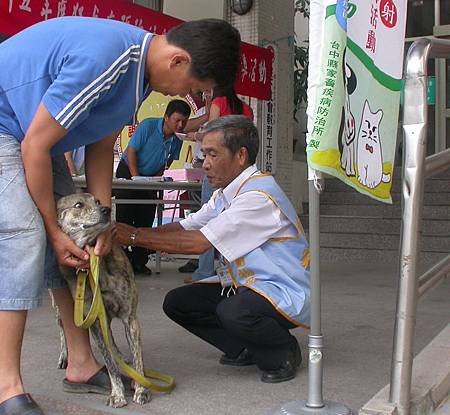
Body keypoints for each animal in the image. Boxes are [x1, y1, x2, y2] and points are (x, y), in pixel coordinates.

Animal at [55, 193, 151, 408]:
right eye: (78, 205)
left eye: (98, 201)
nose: (107, 210)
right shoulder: (95, 323)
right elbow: (109, 364)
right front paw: (117, 394)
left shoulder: (130, 318)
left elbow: (138, 357)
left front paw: (141, 388)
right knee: (63, 328)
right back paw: (64, 357)